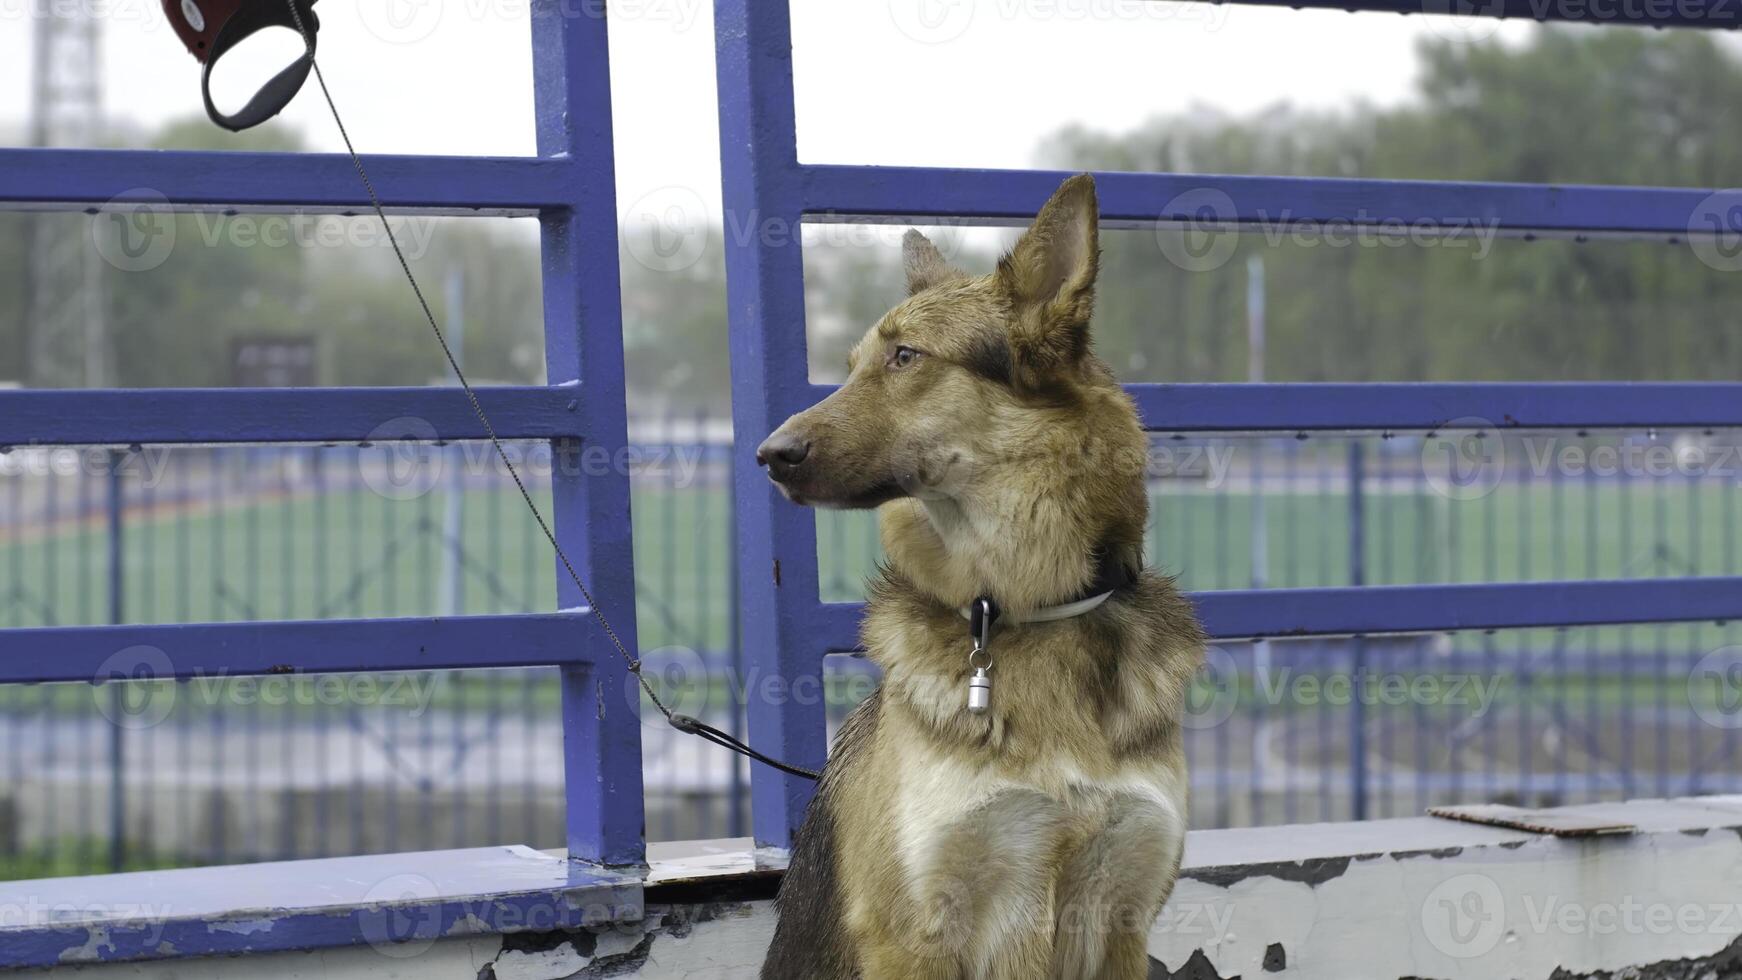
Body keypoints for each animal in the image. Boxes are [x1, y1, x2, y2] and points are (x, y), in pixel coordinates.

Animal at [756, 176, 1205, 980]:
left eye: (906, 356)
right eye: (853, 365)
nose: (768, 455)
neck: (1030, 607)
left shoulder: (1124, 919)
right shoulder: (915, 935)